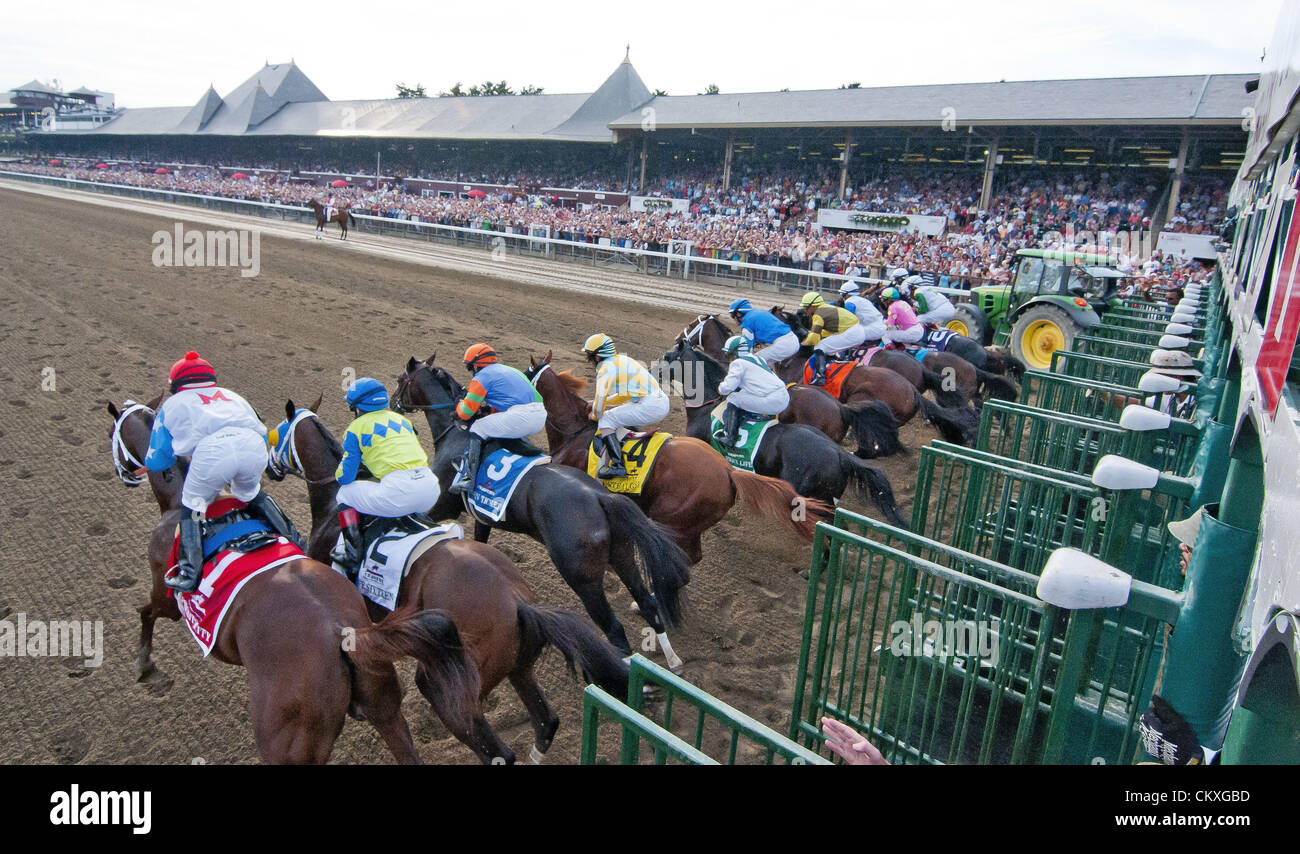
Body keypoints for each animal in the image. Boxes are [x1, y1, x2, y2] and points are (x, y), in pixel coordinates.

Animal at [106, 395, 473, 764]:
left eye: (112, 431)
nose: (124, 474)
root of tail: (341, 634)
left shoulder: (168, 594)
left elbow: (146, 611)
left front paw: (144, 663)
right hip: (384, 706)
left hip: (287, 742)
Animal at [266, 395, 631, 764]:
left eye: (275, 434)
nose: (269, 468)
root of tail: (519, 604)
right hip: (518, 667)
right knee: (546, 720)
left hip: (444, 685)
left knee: (496, 751)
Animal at [392, 356, 691, 670]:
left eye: (401, 380)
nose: (392, 401)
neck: (457, 433)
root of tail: (602, 497)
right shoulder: (483, 514)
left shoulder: (441, 504)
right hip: (623, 558)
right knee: (649, 605)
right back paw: (671, 659)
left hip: (583, 578)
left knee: (615, 630)